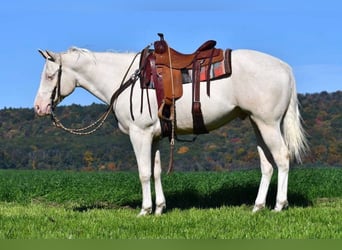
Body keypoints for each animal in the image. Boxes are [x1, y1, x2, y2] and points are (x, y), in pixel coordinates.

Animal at [34, 45, 308, 215]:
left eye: (49, 76)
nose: (39, 107)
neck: (128, 80)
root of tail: (285, 68)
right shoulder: (153, 137)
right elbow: (155, 172)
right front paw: (159, 208)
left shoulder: (140, 134)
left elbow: (144, 173)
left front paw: (145, 210)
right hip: (257, 123)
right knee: (267, 165)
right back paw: (258, 206)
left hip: (268, 123)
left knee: (282, 159)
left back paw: (279, 205)